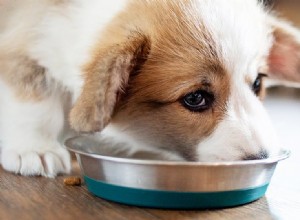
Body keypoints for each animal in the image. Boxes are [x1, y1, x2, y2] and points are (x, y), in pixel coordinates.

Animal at [0, 0, 300, 177]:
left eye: (258, 83)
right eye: (195, 98)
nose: (261, 158)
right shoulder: (24, 45)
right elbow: (35, 105)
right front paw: (35, 149)